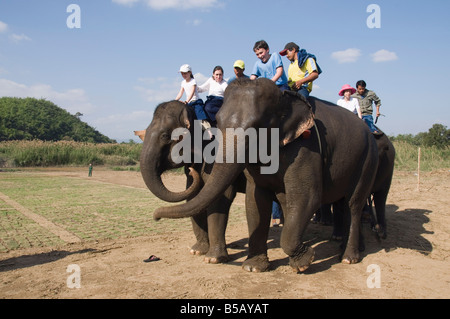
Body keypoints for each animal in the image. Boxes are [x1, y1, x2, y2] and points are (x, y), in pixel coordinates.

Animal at [141, 100, 246, 264]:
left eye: (165, 136)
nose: (156, 218)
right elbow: (194, 197)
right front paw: (197, 251)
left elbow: (219, 199)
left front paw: (213, 259)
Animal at [153, 79, 378, 274]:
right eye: (218, 122)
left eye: (256, 127)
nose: (155, 216)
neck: (284, 97)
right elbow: (255, 200)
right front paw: (252, 267)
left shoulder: (307, 147)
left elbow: (307, 197)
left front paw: (304, 262)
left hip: (367, 159)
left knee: (353, 203)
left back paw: (348, 257)